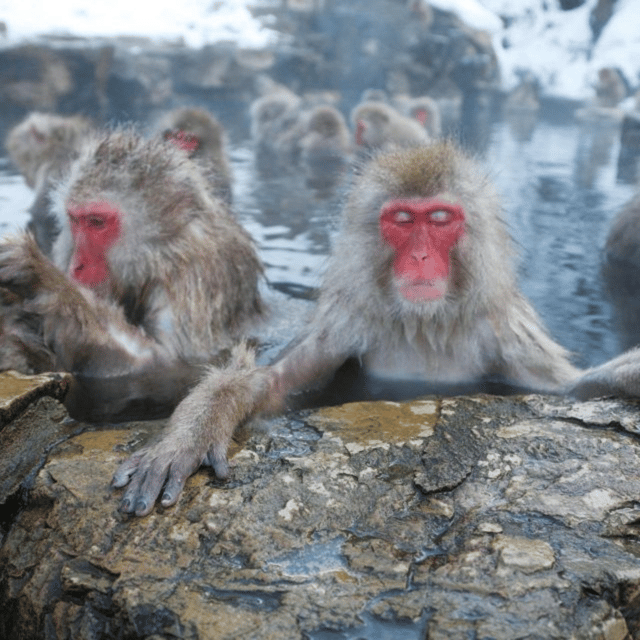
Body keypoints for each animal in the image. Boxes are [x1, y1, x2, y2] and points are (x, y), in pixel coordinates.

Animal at [0, 128, 263, 383]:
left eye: (96, 222)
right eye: (75, 220)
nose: (77, 265)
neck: (160, 252)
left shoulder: (193, 280)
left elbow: (160, 362)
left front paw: (42, 276)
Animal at [113, 141, 589, 516]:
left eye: (439, 218)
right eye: (402, 220)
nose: (419, 256)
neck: (426, 322)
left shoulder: (507, 333)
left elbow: (568, 388)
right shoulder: (349, 320)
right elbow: (270, 383)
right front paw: (189, 436)